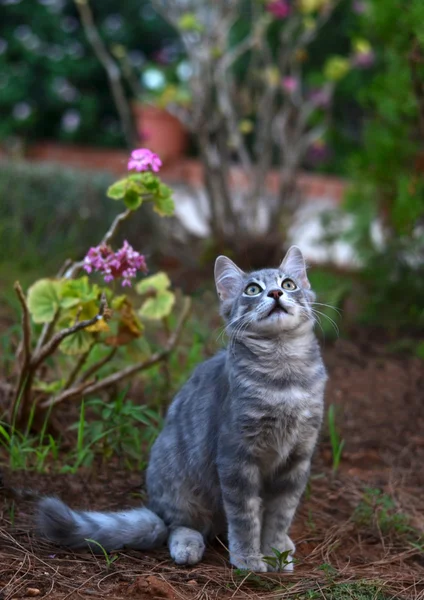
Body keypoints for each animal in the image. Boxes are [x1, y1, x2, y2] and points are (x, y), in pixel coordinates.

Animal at [38, 247, 326, 572]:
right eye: (253, 289)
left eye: (289, 284)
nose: (276, 293)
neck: (284, 376)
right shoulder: (236, 457)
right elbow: (244, 518)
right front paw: (249, 558)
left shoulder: (297, 458)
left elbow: (280, 515)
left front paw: (275, 551)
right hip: (181, 486)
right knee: (177, 526)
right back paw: (187, 545)